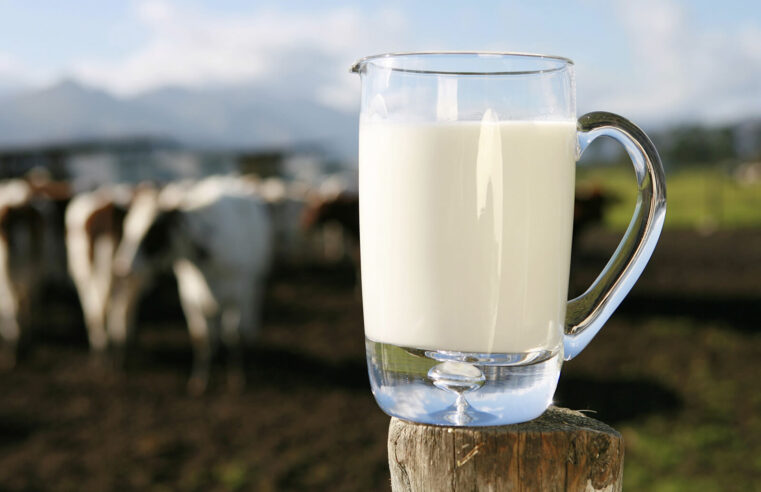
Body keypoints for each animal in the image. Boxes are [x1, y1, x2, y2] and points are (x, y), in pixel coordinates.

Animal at [108, 176, 272, 392]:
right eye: (127, 226)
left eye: (154, 230)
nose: (122, 267)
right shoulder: (190, 296)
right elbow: (200, 338)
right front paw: (200, 379)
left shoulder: (238, 295)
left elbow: (234, 336)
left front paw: (237, 377)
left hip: (255, 285)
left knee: (249, 325)